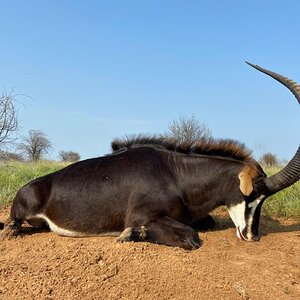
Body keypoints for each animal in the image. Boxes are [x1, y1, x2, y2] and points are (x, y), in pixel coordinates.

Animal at [0, 62, 298, 250]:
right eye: (252, 196)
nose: (252, 236)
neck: (177, 175)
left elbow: (207, 222)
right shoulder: (143, 215)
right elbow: (191, 236)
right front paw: (129, 234)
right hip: (21, 212)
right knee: (12, 224)